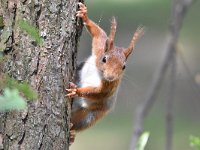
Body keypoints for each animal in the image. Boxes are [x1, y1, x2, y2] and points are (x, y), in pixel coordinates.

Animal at [66, 2, 144, 145]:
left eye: (124, 67)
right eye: (104, 59)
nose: (110, 76)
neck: (99, 73)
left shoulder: (110, 87)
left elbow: (98, 92)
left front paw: (76, 91)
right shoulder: (99, 49)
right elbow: (99, 34)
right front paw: (84, 15)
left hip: (88, 117)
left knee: (76, 124)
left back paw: (71, 134)